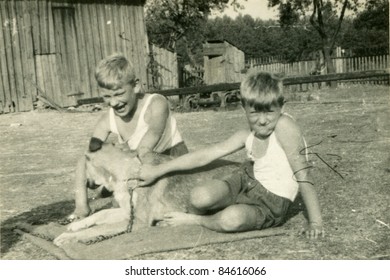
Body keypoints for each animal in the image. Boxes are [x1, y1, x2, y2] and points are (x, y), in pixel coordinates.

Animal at [53, 143, 239, 246]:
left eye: (85, 167)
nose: (88, 184)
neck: (127, 172)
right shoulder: (128, 213)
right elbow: (100, 214)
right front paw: (77, 225)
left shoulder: (138, 221)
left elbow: (99, 228)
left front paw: (68, 237)